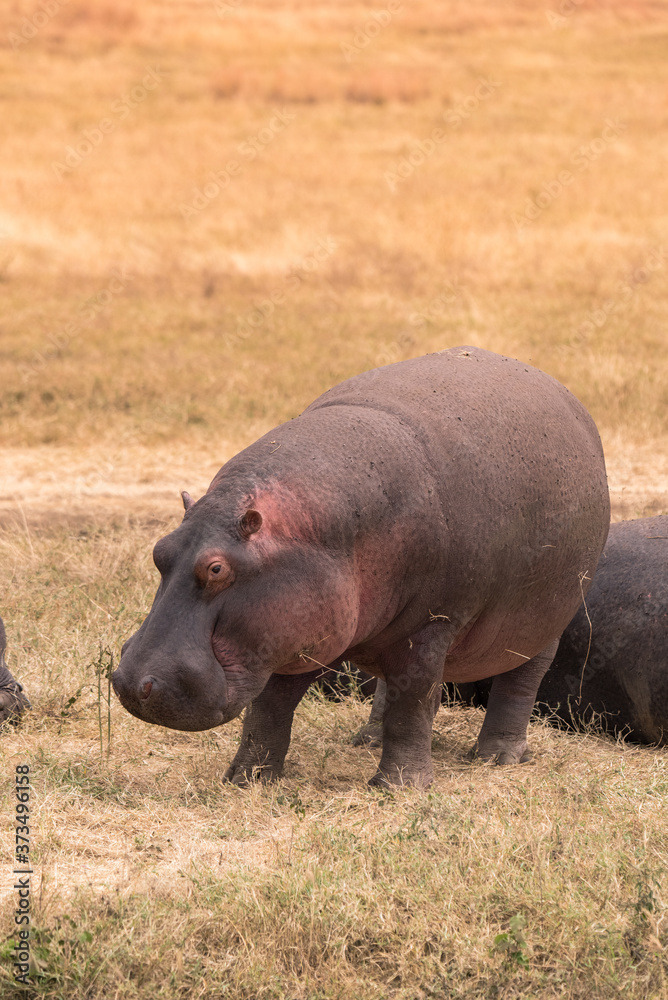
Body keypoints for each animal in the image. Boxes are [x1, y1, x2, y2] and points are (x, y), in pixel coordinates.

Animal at [113, 346, 612, 788]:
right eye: (159, 550)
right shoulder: (298, 630)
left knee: (519, 682)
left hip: (546, 620)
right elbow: (271, 707)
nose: (131, 682)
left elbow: (413, 702)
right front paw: (246, 779)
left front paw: (400, 788)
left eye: (216, 569)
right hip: (385, 629)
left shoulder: (433, 624)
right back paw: (367, 740)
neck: (314, 530)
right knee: (390, 687)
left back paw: (498, 758)